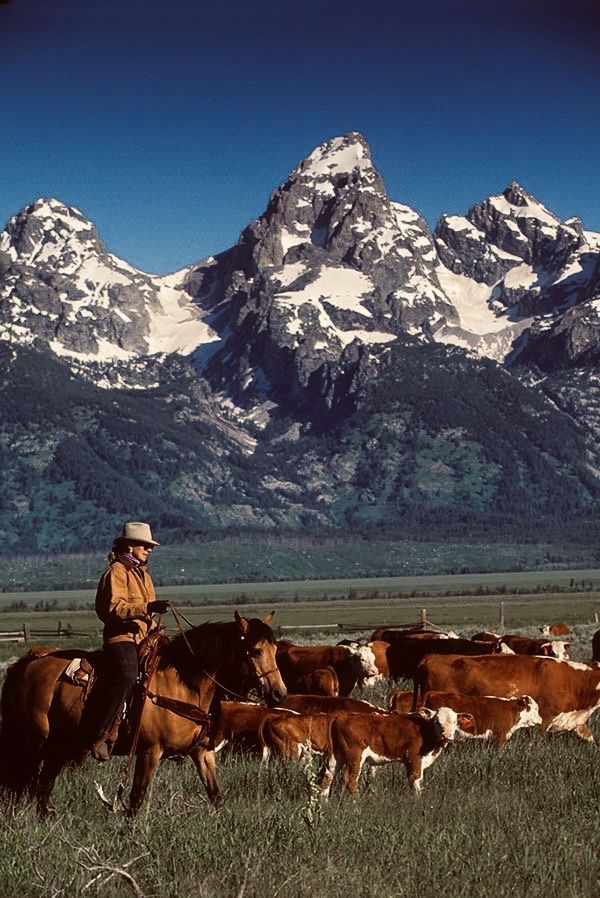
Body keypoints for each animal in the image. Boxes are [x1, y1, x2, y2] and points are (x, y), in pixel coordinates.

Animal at [0, 608, 288, 812]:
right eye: (255, 651)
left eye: (276, 649)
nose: (279, 693)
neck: (184, 684)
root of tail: (24, 663)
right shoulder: (149, 751)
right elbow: (136, 798)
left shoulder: (201, 752)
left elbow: (215, 795)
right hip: (36, 744)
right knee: (27, 784)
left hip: (60, 746)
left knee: (41, 787)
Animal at [322, 708, 462, 800]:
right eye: (437, 722)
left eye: (455, 722)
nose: (447, 735)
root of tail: (343, 715)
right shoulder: (413, 758)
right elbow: (415, 779)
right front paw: (417, 800)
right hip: (355, 757)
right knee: (350, 779)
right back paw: (356, 804)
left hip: (336, 755)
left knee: (328, 775)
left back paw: (324, 803)